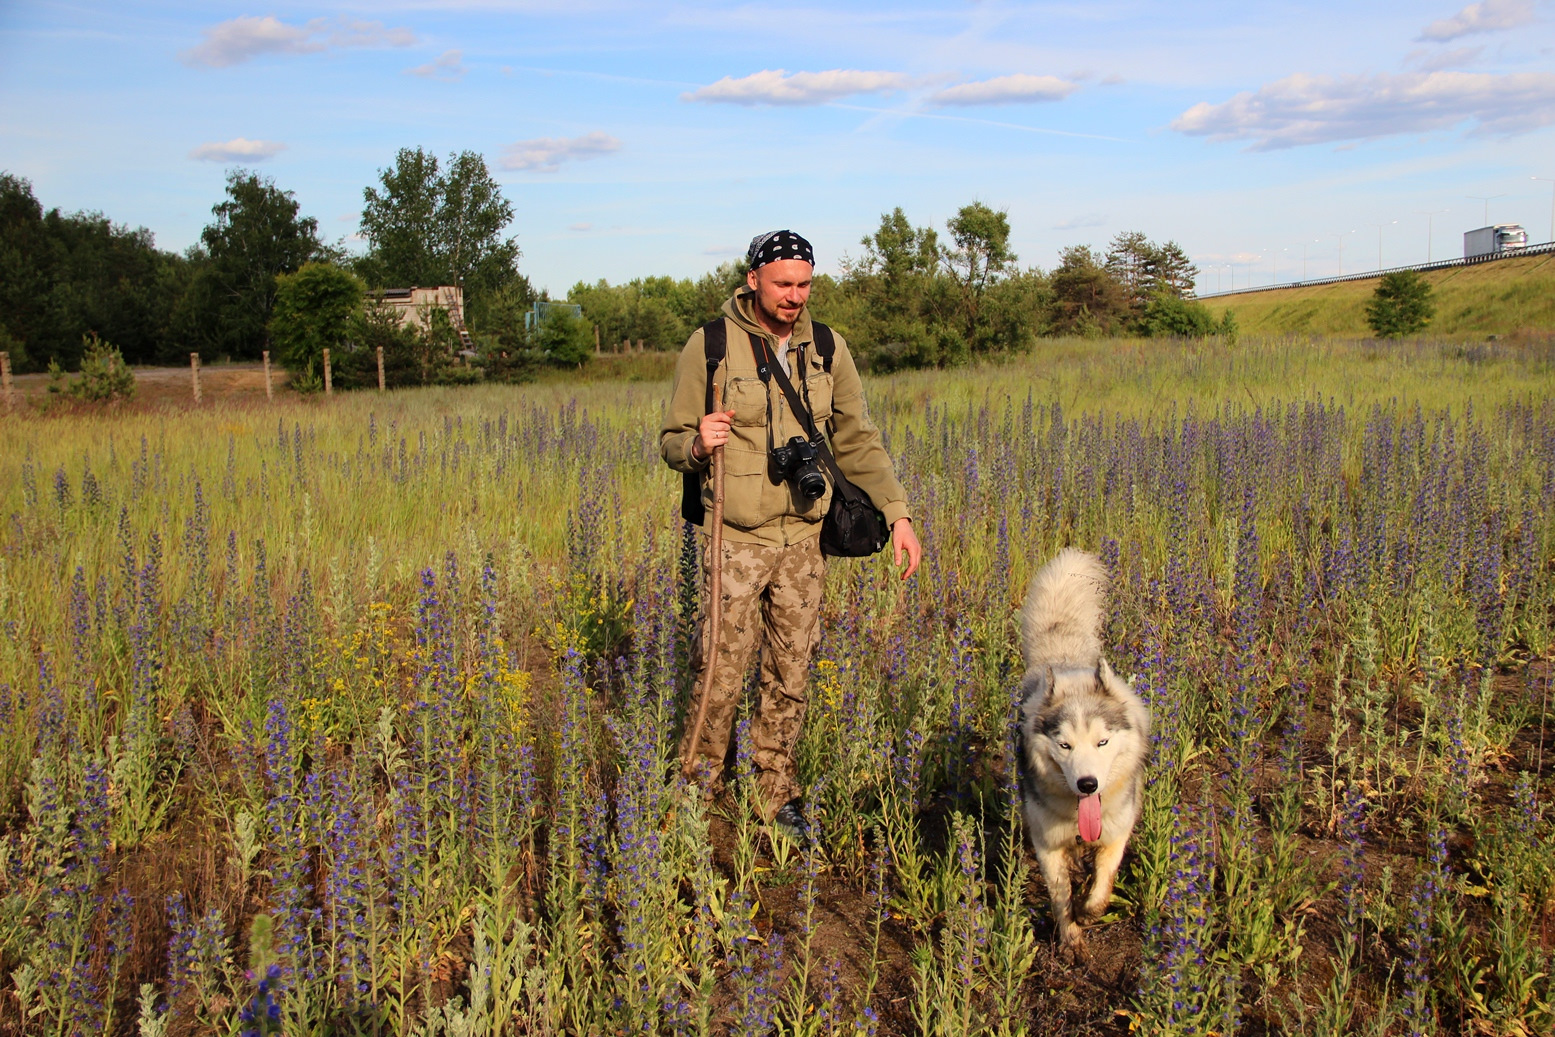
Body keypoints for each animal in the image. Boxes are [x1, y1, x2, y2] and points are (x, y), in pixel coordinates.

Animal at [1013, 547, 1150, 963]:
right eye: (1065, 745)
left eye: (1102, 742)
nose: (1087, 784)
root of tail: (1064, 659)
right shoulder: (1047, 843)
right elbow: (1060, 896)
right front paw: (1071, 937)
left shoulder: (1117, 833)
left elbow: (1102, 887)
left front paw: (1088, 912)